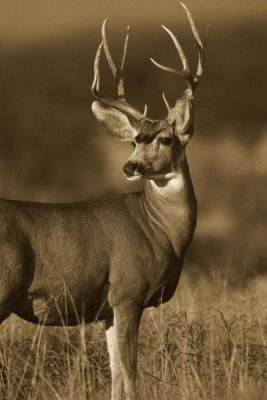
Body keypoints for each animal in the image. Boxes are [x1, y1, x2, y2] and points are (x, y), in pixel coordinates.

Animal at [0, 1, 207, 398]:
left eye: (165, 139)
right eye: (134, 141)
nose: (130, 165)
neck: (160, 230)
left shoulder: (107, 311)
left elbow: (116, 378)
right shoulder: (127, 291)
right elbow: (130, 375)